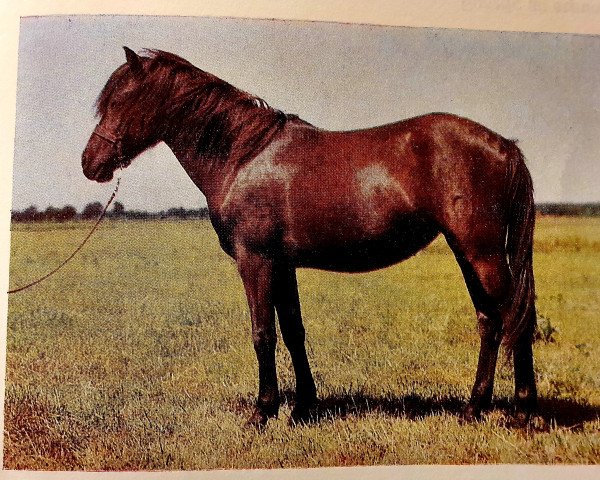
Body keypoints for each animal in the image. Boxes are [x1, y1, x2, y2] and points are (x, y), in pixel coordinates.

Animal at [82, 47, 536, 426]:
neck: (244, 155)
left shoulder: (255, 261)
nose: (90, 163)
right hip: (467, 253)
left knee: (517, 316)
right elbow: (293, 331)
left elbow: (263, 334)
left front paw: (262, 413)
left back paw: (522, 413)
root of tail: (504, 146)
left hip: (482, 253)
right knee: (490, 321)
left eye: (119, 101)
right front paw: (302, 407)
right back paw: (474, 409)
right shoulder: (282, 265)